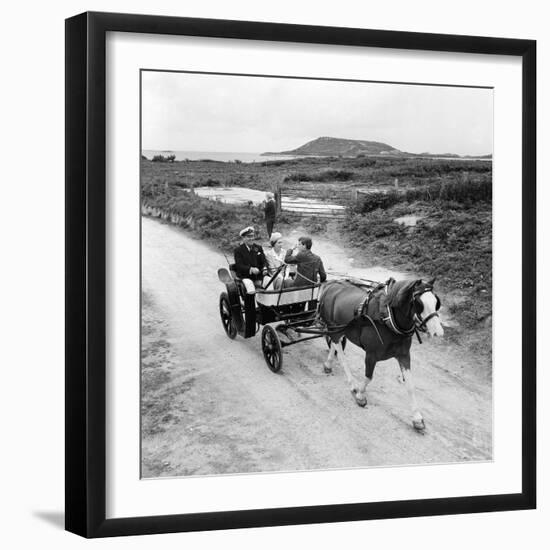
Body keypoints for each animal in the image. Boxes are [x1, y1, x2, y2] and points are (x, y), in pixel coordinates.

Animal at [320, 278, 444, 434]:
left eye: (436, 302)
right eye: (419, 303)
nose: (438, 333)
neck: (387, 318)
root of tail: (331, 284)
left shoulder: (404, 355)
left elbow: (410, 386)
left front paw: (417, 418)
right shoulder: (371, 355)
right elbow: (368, 377)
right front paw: (360, 396)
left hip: (339, 329)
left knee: (334, 344)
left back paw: (328, 364)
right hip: (333, 327)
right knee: (341, 354)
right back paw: (352, 383)